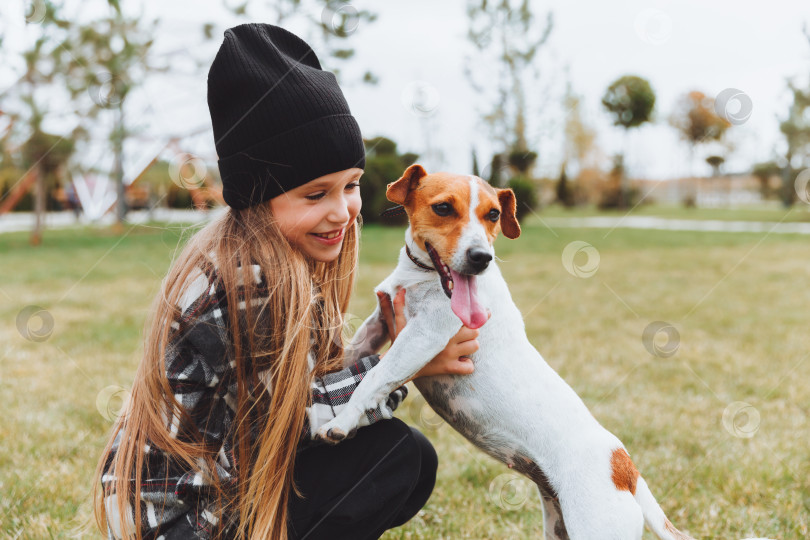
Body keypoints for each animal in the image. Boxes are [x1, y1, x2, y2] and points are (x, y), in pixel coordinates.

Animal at [316, 165, 696, 540]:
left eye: (494, 214)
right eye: (443, 208)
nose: (481, 258)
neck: (420, 277)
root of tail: (625, 468)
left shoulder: (423, 336)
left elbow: (374, 377)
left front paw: (340, 423)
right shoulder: (379, 324)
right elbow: (353, 357)